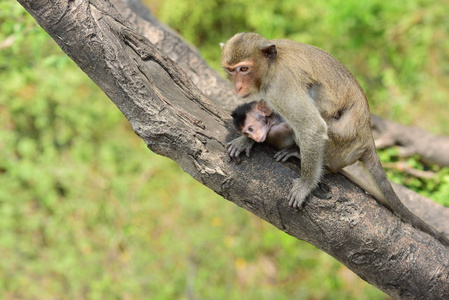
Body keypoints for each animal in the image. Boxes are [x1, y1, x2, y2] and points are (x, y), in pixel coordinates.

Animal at [220, 31, 448, 246]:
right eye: (231, 70)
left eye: (244, 69)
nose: (238, 87)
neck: (271, 65)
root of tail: (368, 140)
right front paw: (246, 140)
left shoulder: (280, 85)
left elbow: (312, 127)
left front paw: (305, 185)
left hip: (341, 146)